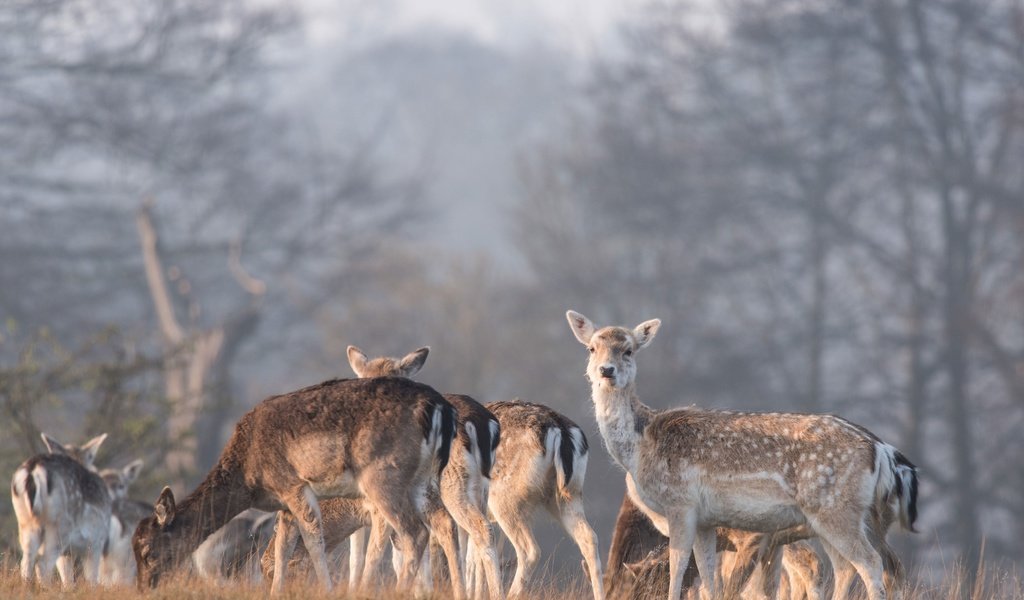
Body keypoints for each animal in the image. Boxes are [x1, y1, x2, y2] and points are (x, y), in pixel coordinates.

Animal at [10, 430, 112, 585]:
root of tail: (33, 470)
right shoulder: (96, 542)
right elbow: (92, 580)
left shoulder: (67, 553)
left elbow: (67, 580)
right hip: (59, 525)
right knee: (43, 564)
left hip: (25, 522)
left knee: (26, 561)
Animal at [131, 376, 456, 589]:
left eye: (147, 551)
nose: (144, 587)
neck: (249, 478)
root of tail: (440, 408)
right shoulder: (283, 504)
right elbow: (282, 547)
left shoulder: (292, 485)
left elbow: (312, 540)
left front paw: (327, 589)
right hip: (424, 480)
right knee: (445, 523)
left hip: (384, 478)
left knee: (415, 532)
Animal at [569, 311, 921, 597]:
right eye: (591, 348)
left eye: (628, 349)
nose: (606, 371)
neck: (642, 445)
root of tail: (881, 449)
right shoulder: (707, 520)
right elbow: (708, 577)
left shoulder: (680, 503)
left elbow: (679, 569)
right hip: (844, 517)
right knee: (849, 566)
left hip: (835, 509)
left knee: (870, 563)